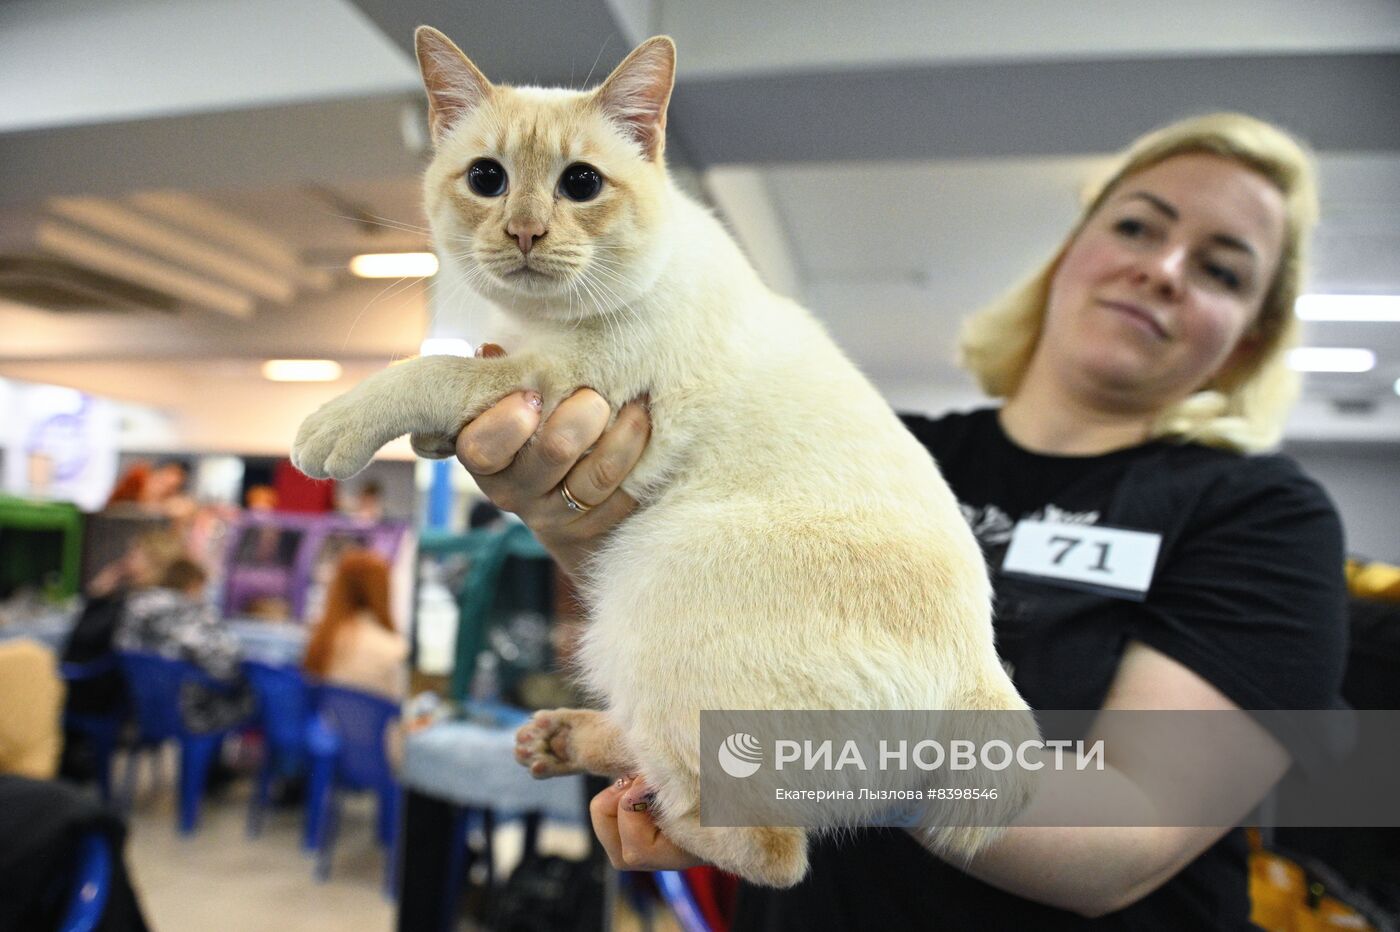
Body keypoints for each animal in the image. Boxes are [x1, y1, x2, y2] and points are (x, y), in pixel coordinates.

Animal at [292, 27, 1041, 884]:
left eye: (581, 184)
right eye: (487, 179)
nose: (524, 233)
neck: (541, 320)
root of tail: (983, 678)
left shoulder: (549, 377)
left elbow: (432, 371)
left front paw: (330, 428)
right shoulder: (518, 367)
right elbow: (454, 376)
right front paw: (429, 440)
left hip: (645, 584)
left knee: (768, 847)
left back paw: (650, 814)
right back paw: (562, 741)